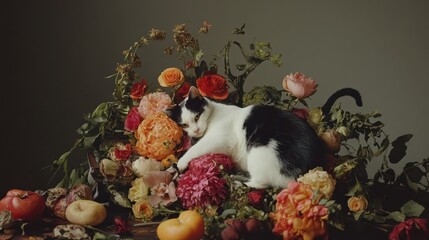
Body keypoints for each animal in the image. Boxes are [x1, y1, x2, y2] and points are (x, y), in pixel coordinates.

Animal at [166, 85, 360, 188]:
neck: (214, 114)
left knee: (261, 183)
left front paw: (180, 164)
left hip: (259, 151)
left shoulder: (219, 139)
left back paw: (236, 180)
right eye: (184, 125)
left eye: (197, 117)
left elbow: (195, 149)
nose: (196, 130)